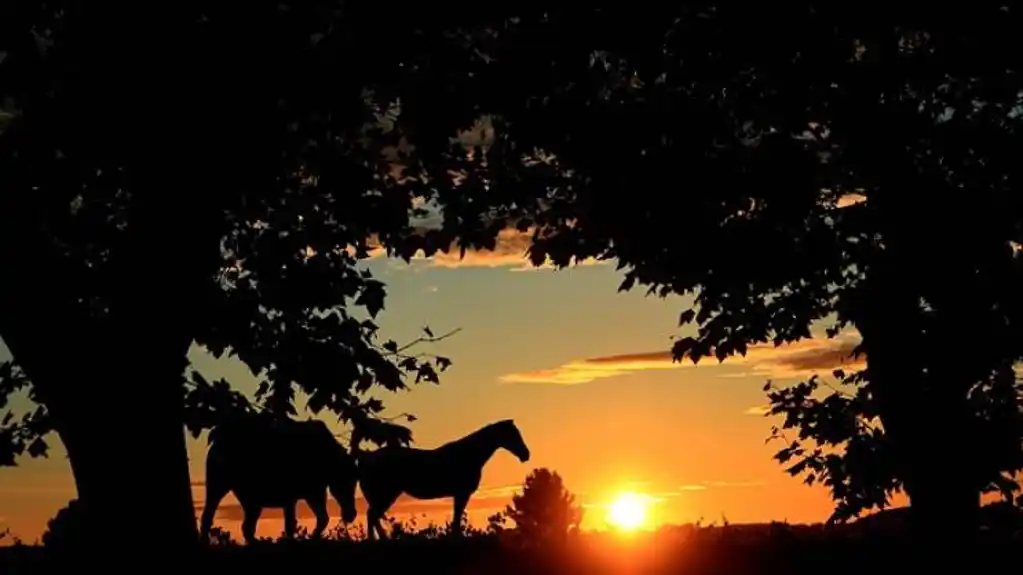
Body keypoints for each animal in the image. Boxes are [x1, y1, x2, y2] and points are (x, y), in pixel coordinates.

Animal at [199, 415, 360, 540]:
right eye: (346, 481)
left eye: (355, 482)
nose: (351, 514)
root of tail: (215, 440)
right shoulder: (302, 493)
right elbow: (297, 524)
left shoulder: (310, 493)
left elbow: (317, 520)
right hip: (218, 485)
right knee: (210, 517)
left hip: (251, 500)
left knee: (245, 527)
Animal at [358, 415, 531, 536]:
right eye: (513, 434)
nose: (526, 454)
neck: (468, 455)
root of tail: (366, 458)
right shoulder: (462, 493)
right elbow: (456, 519)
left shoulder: (459, 494)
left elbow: (456, 518)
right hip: (386, 494)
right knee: (372, 516)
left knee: (373, 516)